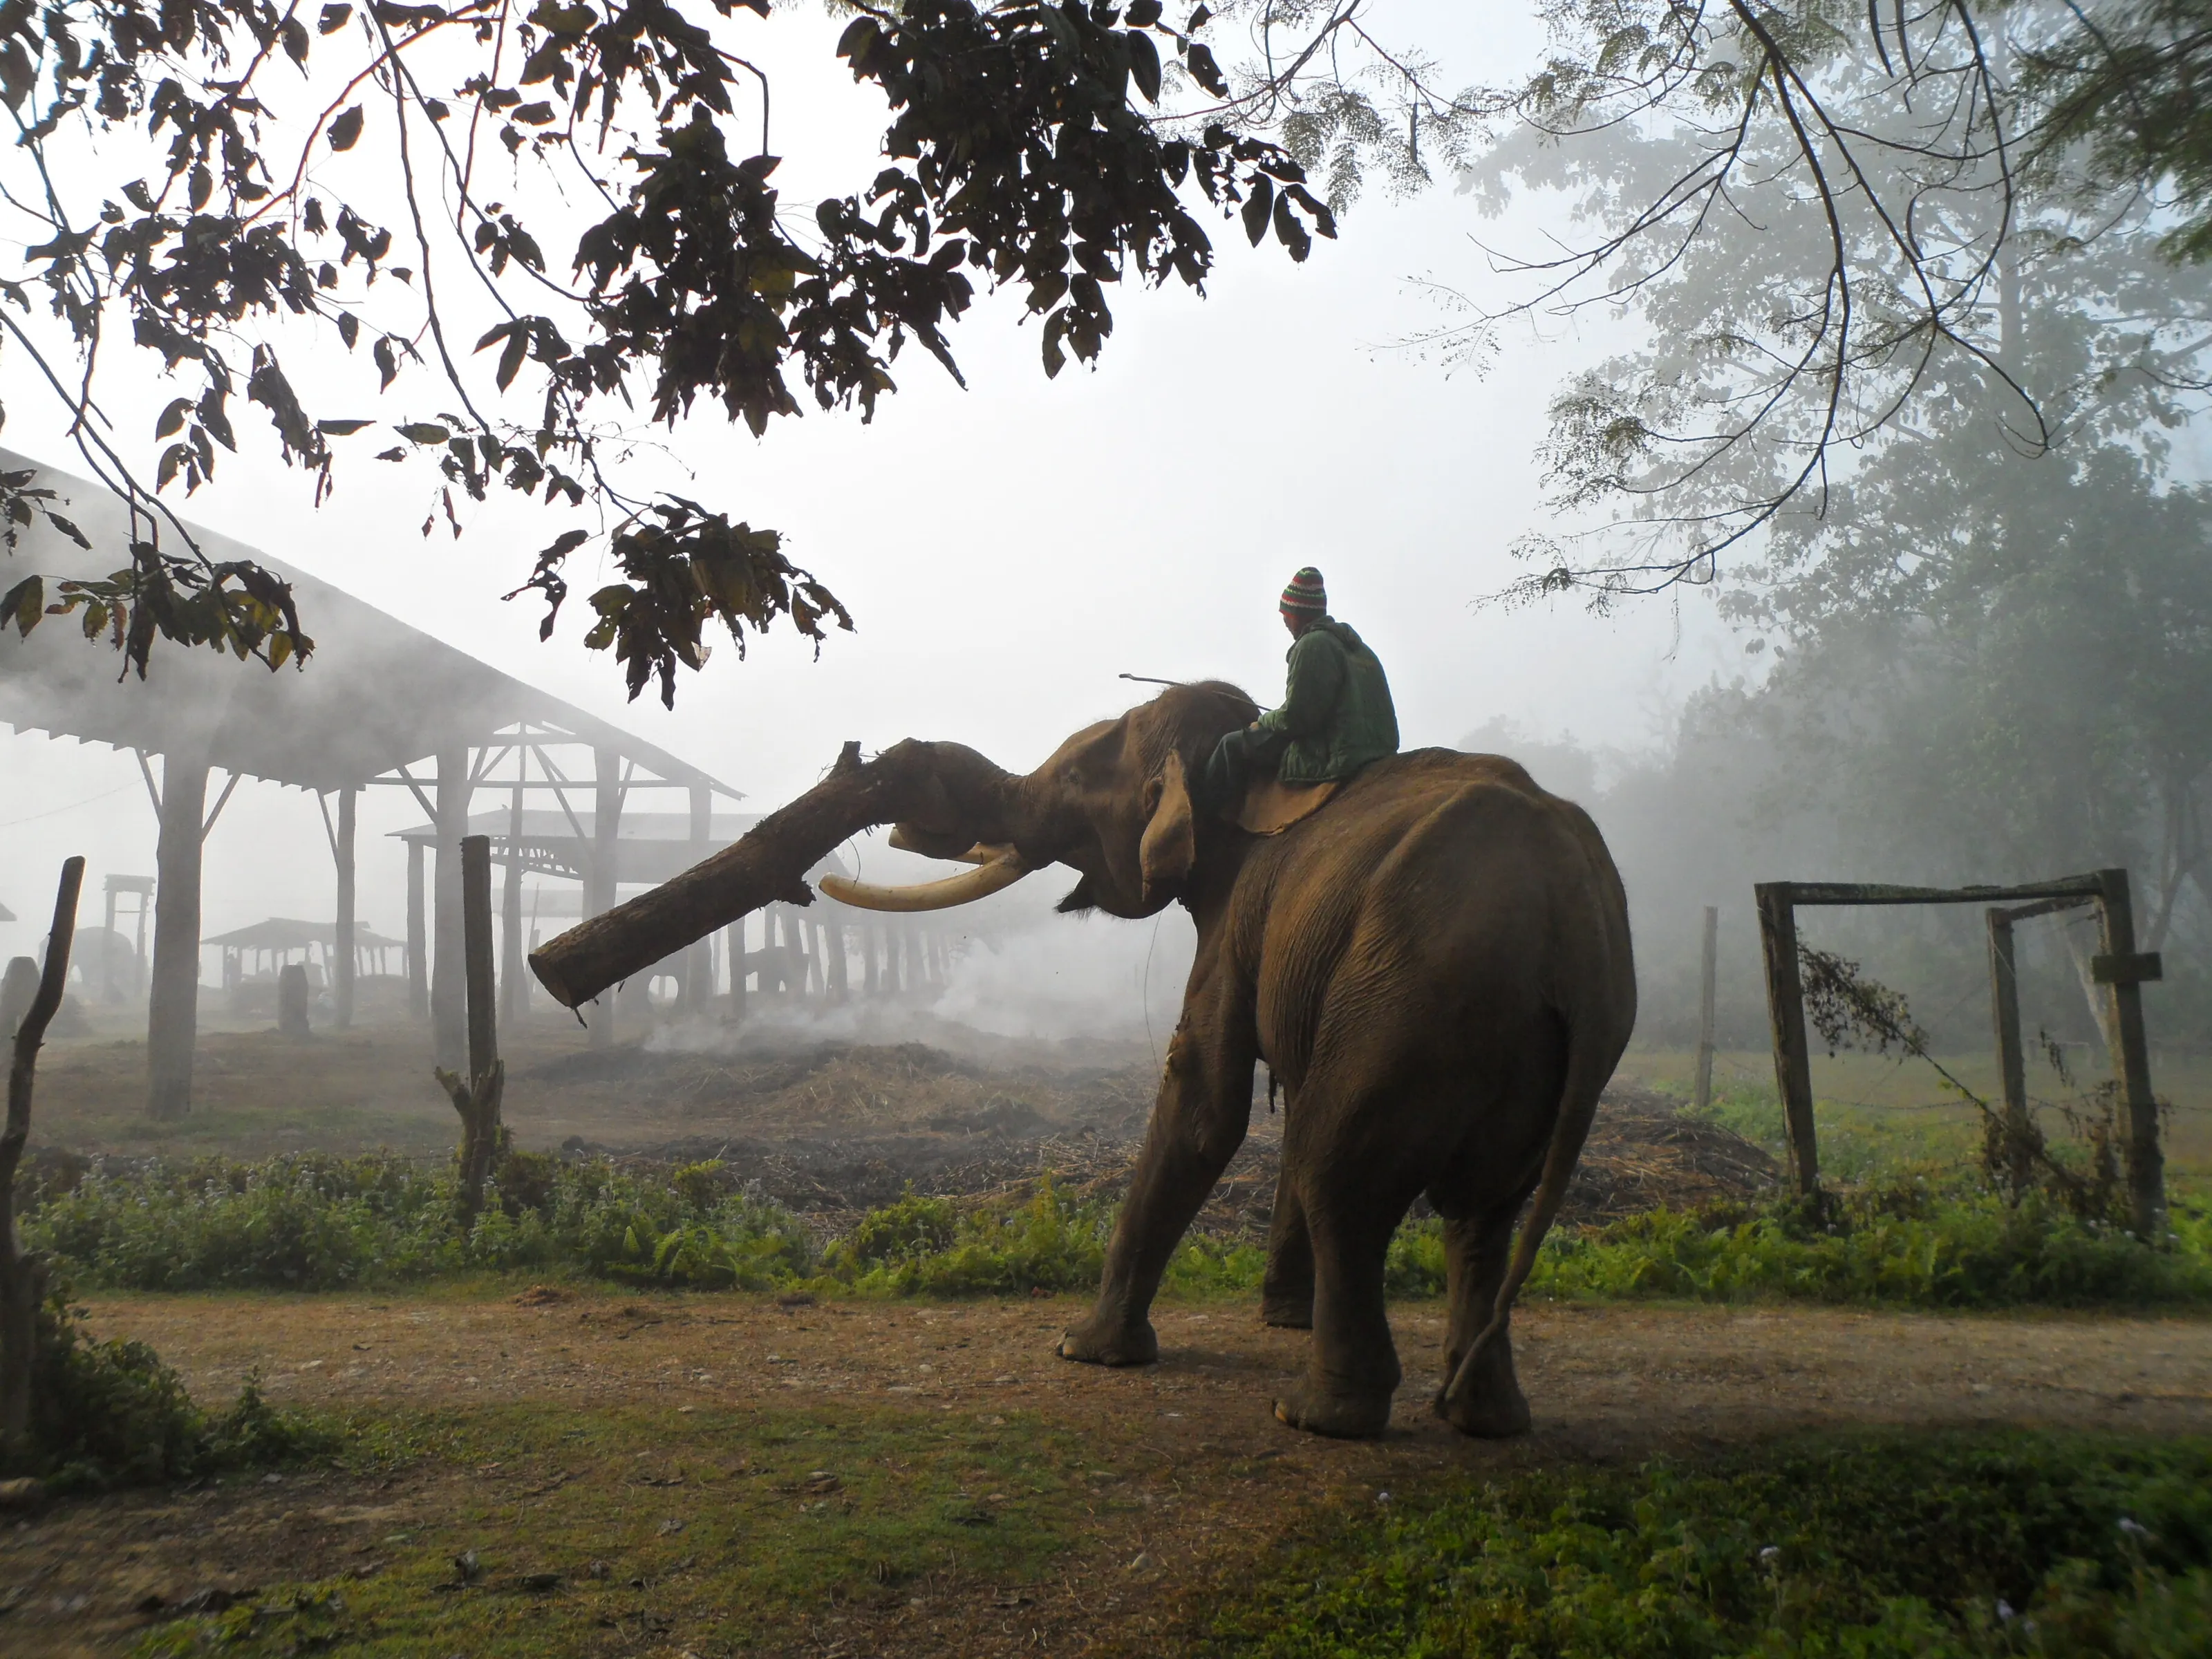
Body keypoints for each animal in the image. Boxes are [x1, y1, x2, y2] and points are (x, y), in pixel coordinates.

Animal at [531, 683, 1636, 1439]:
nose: (546, 969)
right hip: (1514, 1046)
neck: (1249, 754)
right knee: (1482, 1214)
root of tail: (1574, 924)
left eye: (1072, 782)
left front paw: (1086, 1354)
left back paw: (1320, 1417)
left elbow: (1205, 1095)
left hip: (1414, 999)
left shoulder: (1242, 917)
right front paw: (1271, 1318)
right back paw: (1477, 1417)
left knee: (1345, 1167)